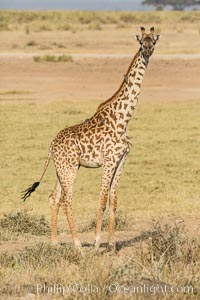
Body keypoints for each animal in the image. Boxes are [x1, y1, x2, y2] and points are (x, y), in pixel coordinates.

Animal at [21, 27, 159, 251]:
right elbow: (102, 200)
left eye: (153, 41)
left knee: (54, 197)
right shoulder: (109, 161)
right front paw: (96, 243)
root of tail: (51, 145)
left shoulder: (121, 161)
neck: (123, 119)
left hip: (64, 168)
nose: (147, 51)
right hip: (69, 169)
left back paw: (55, 243)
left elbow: (113, 201)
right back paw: (78, 245)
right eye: (141, 42)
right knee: (66, 200)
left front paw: (112, 245)